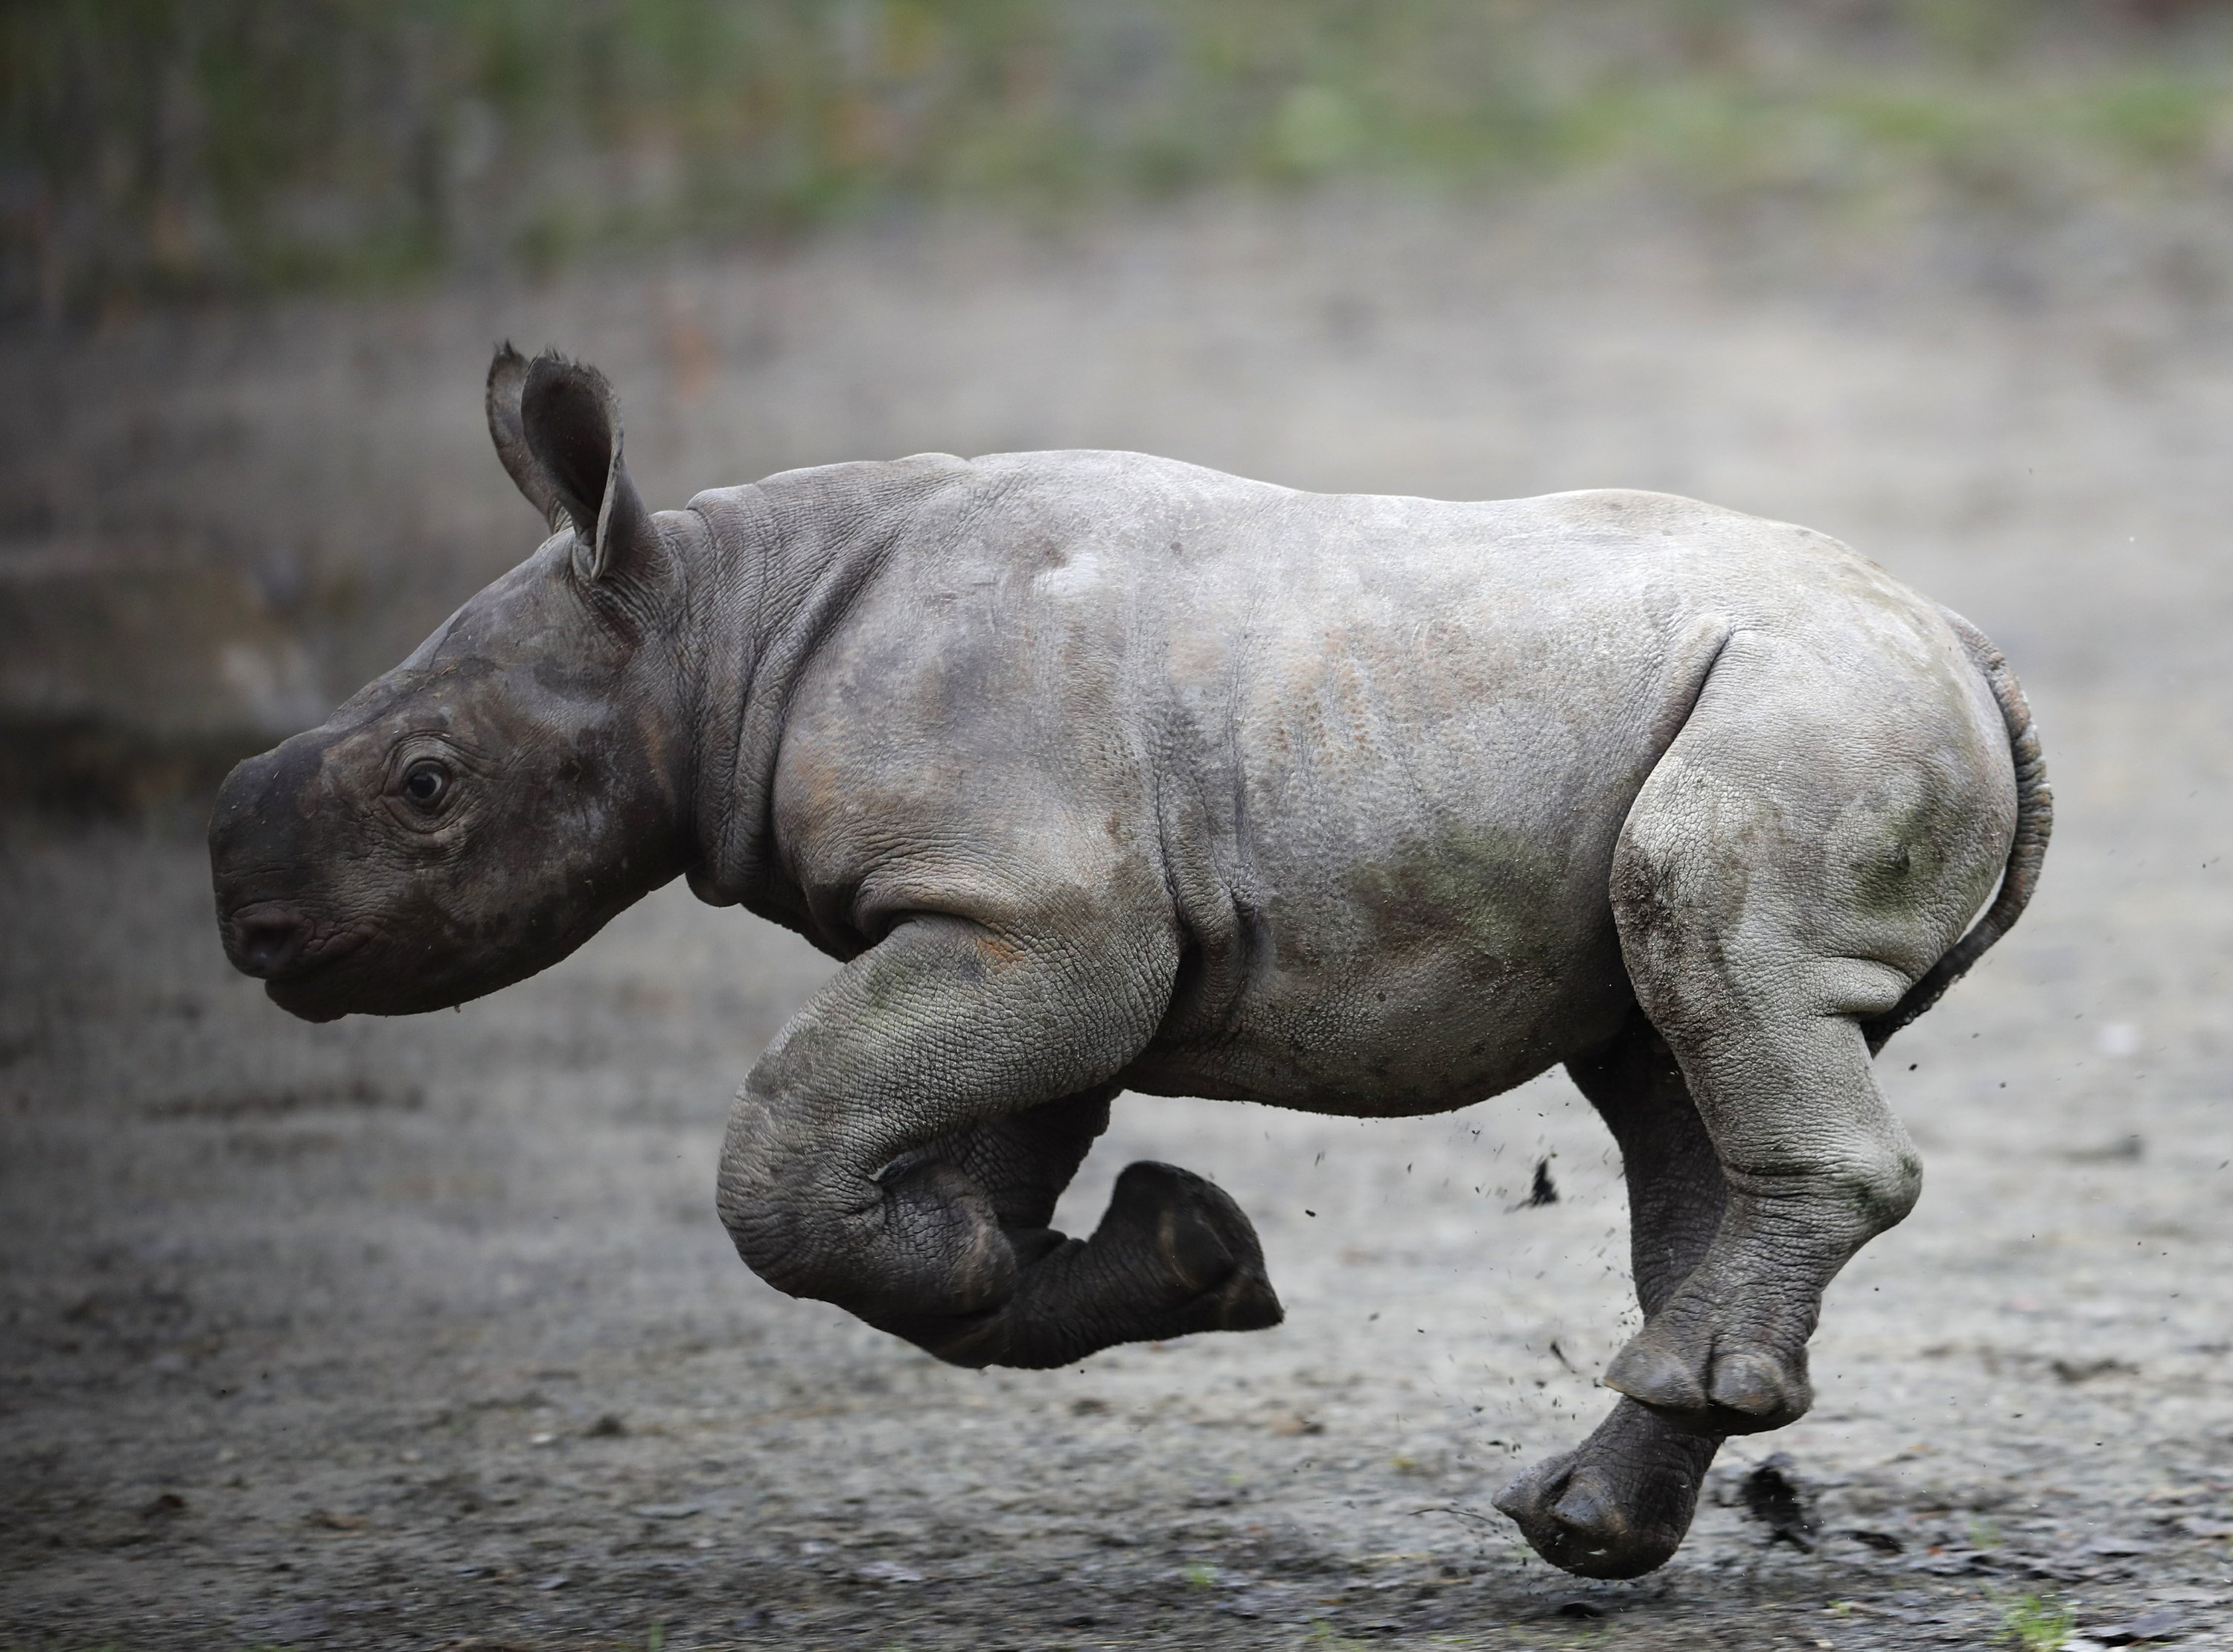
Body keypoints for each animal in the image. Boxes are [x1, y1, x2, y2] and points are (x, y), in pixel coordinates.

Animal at [205, 348, 2045, 1572]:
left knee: (1705, 953)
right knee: (1663, 1063)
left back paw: (1641, 1435)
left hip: (1807, 712)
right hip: (1756, 707)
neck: (721, 625)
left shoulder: (1038, 915)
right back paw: (1588, 1522)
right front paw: (1158, 1258)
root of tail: (1967, 641)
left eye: (429, 787)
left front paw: (1063, 1255)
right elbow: (946, 1171)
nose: (250, 929)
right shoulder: (1019, 922)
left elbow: (788, 1146)